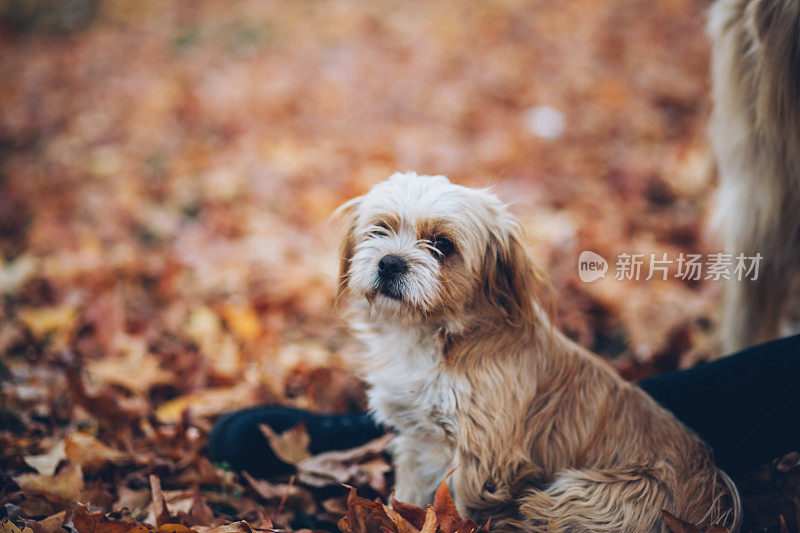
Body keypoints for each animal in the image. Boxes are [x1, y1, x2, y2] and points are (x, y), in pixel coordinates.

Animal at [334, 172, 740, 528]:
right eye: (380, 229)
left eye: (442, 245)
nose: (390, 262)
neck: (436, 336)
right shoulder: (418, 439)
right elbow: (408, 496)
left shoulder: (480, 460)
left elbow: (461, 509)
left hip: (582, 496)